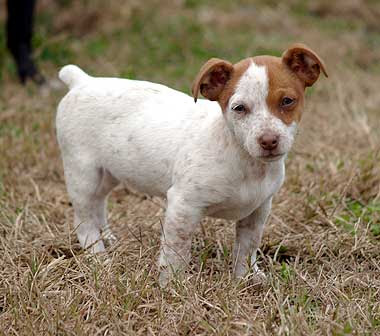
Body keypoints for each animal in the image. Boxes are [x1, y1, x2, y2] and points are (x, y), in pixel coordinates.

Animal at [56, 42, 326, 284]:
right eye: (239, 108)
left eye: (287, 101)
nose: (268, 141)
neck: (243, 159)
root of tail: (82, 80)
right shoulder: (184, 206)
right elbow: (176, 253)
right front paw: (173, 288)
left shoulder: (258, 210)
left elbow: (246, 249)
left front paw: (246, 278)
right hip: (83, 173)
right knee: (84, 221)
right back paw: (98, 256)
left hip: (108, 173)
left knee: (99, 204)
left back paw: (109, 239)